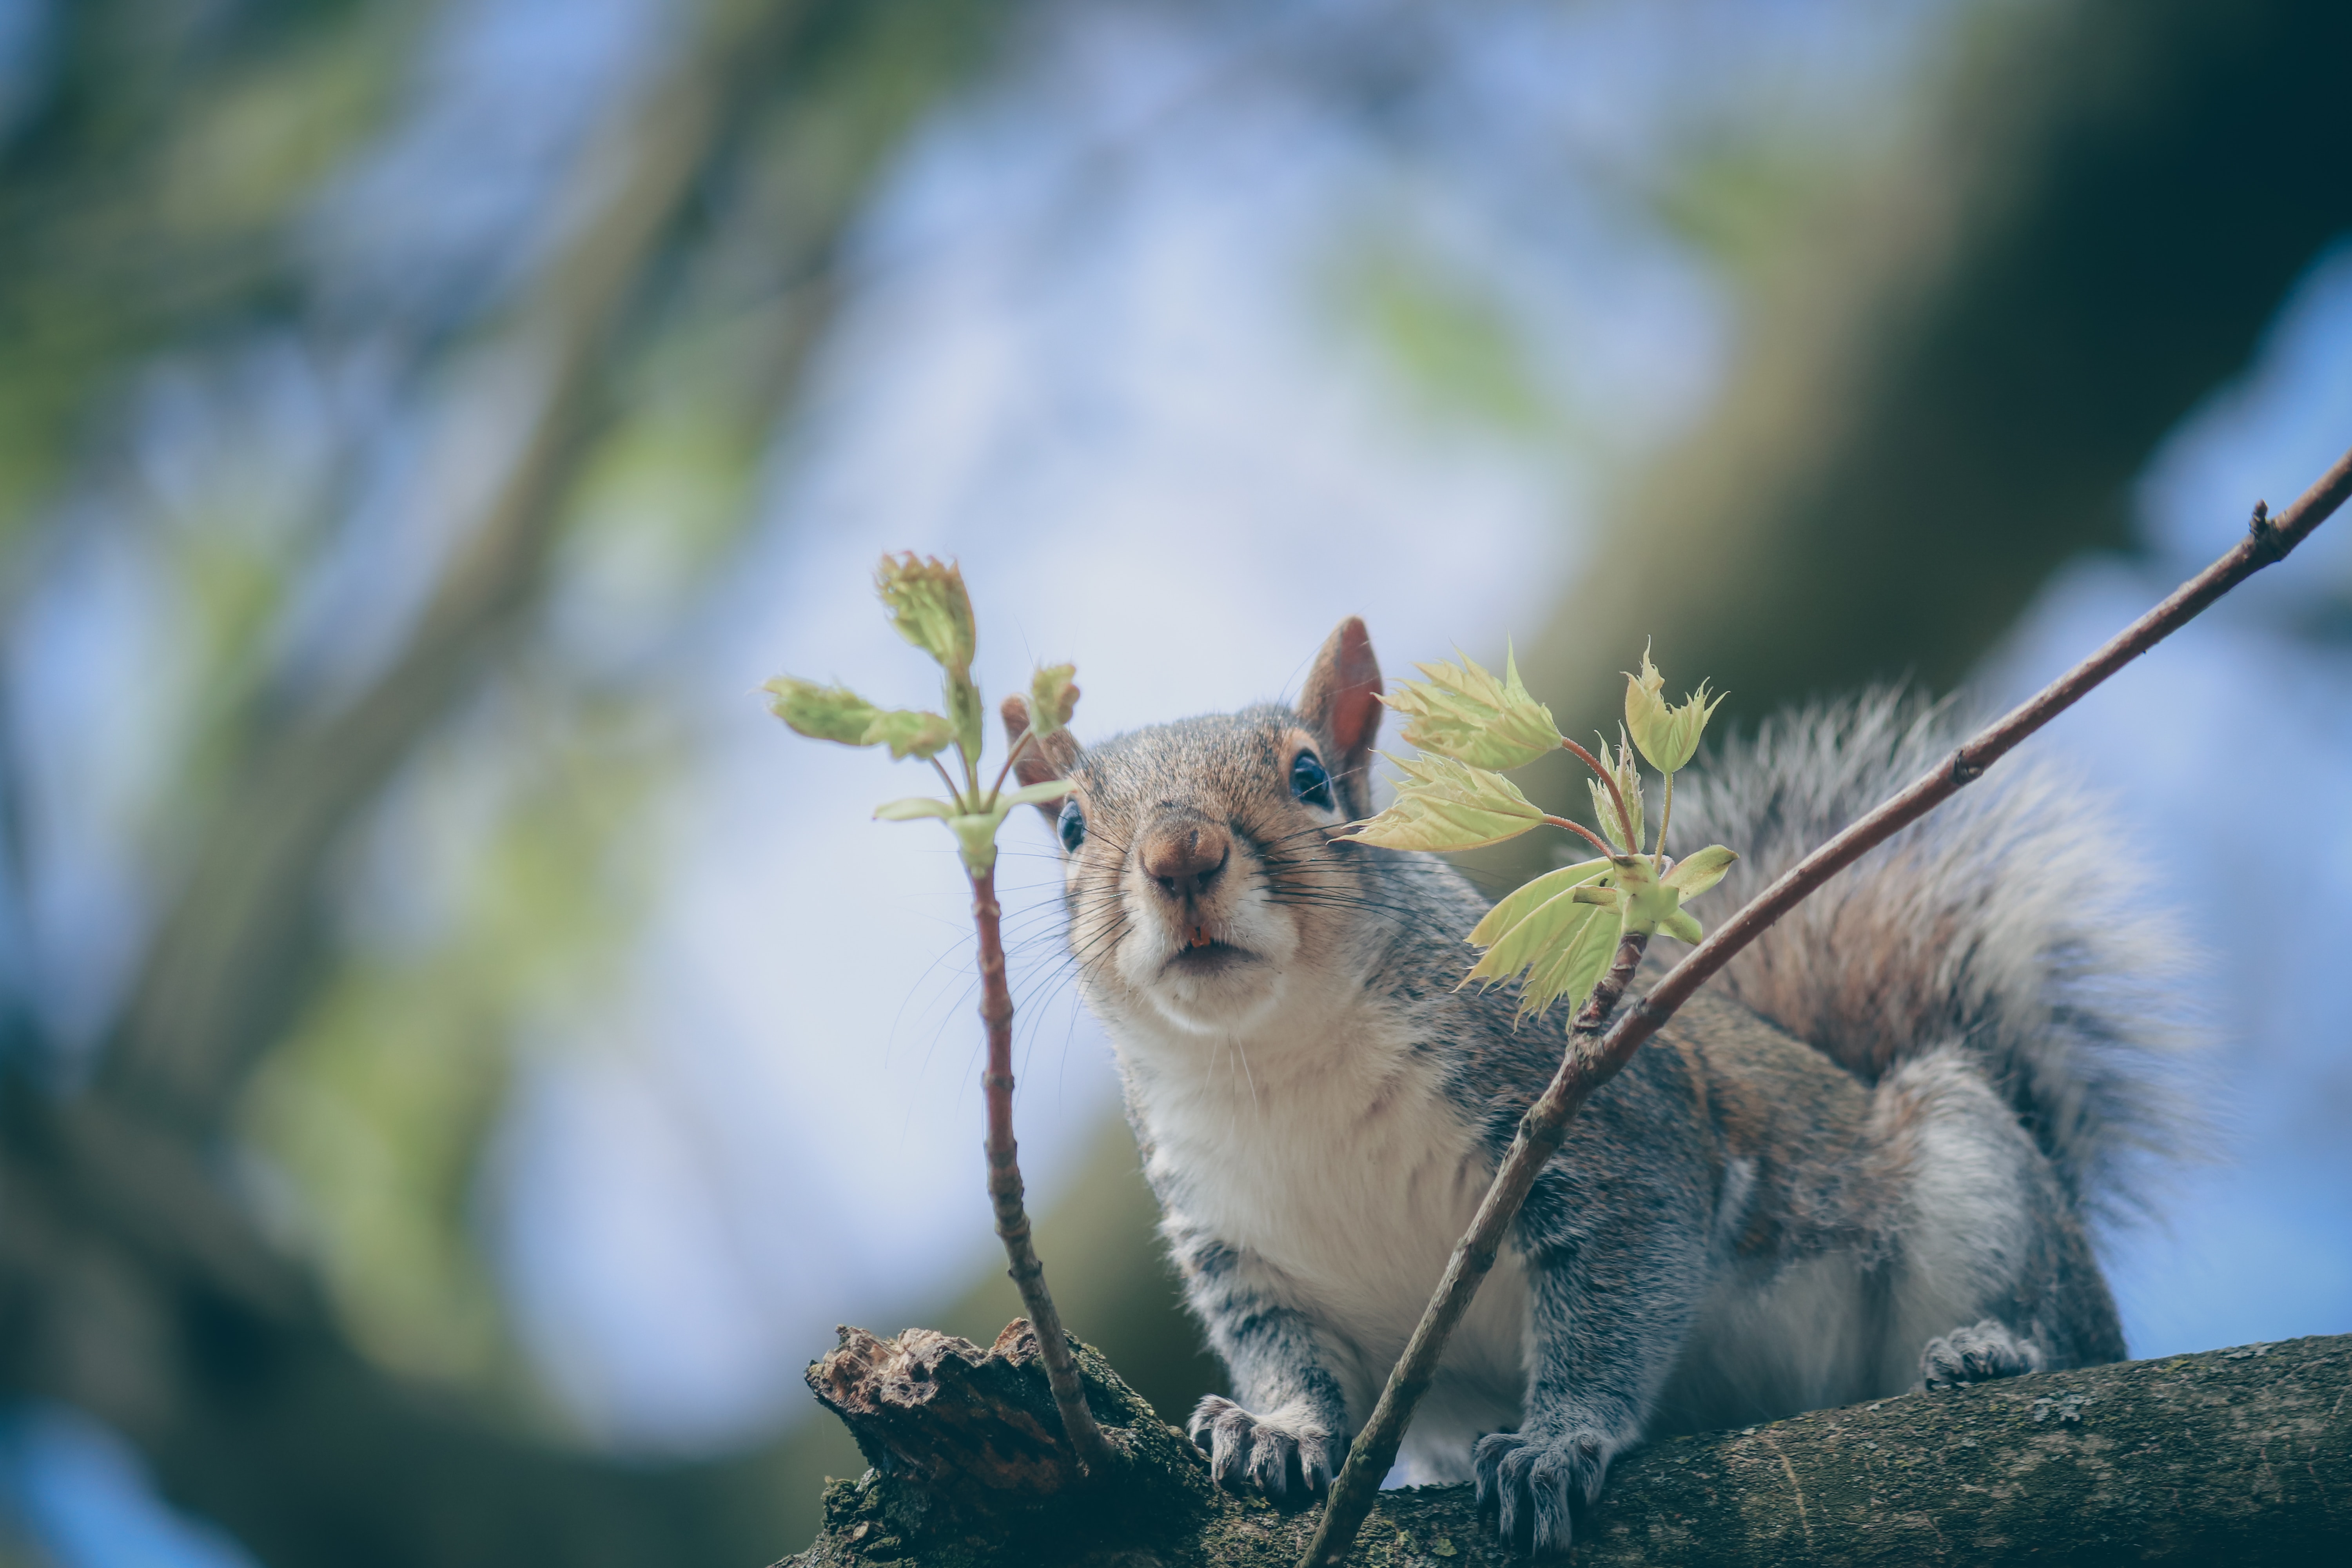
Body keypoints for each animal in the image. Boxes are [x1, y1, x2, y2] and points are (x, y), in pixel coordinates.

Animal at [997, 616, 2183, 1561]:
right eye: (1071, 827)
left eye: (1310, 780)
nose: (1180, 854)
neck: (1279, 1058)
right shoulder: (1238, 1249)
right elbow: (1284, 1354)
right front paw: (1278, 1428)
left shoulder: (1608, 1140)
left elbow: (1613, 1304)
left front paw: (1558, 1441)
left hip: (1970, 1175)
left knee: (2060, 1320)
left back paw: (1993, 1352)